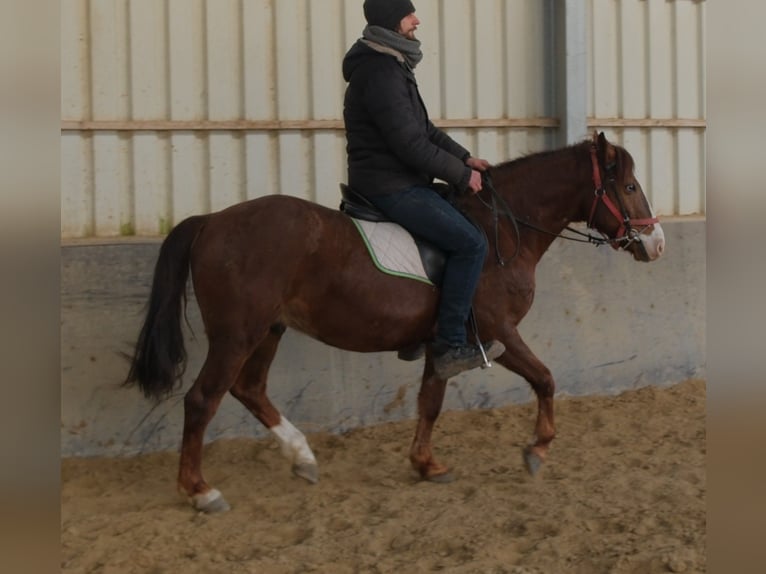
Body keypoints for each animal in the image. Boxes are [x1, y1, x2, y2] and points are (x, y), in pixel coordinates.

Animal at [123, 131, 665, 513]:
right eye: (630, 186)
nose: (655, 243)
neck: (502, 230)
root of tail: (211, 220)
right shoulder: (498, 332)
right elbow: (546, 379)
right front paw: (538, 450)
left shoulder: (444, 344)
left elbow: (430, 402)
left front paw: (426, 464)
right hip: (237, 335)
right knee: (203, 400)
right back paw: (200, 491)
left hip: (268, 331)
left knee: (249, 389)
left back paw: (302, 457)